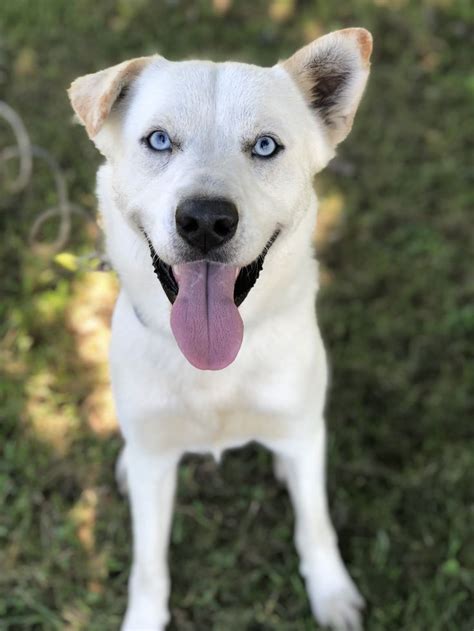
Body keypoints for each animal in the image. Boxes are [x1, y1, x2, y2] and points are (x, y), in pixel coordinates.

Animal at [69, 29, 374, 631]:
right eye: (159, 140)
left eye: (265, 147)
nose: (206, 221)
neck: (212, 368)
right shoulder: (156, 463)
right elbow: (148, 566)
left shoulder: (301, 430)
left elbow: (316, 524)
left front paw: (331, 592)